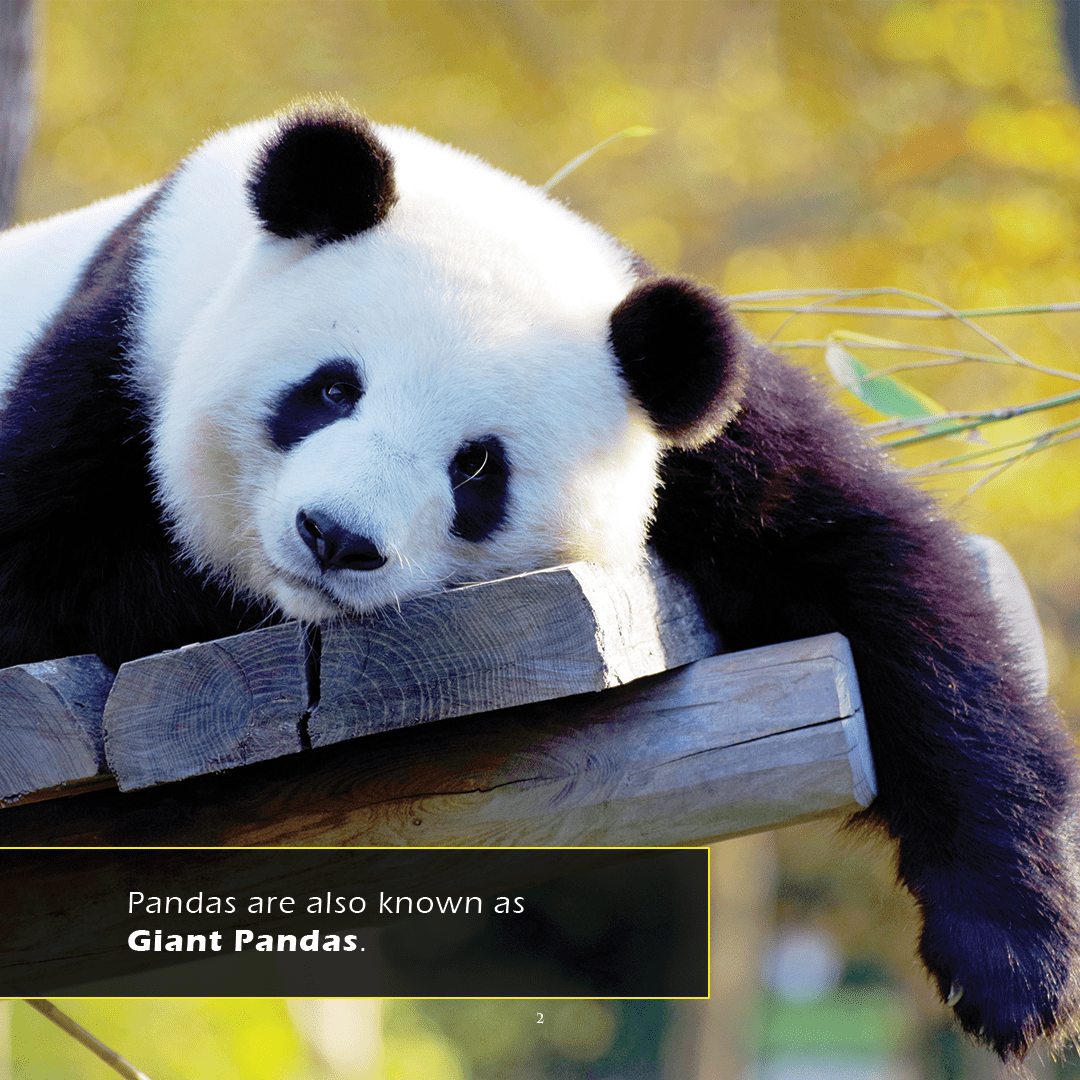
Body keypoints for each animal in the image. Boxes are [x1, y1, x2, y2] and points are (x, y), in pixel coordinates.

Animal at [0, 101, 1077, 1059]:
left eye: (478, 466)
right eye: (333, 388)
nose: (335, 538)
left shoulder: (695, 428)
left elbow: (883, 577)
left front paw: (1015, 969)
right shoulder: (122, 348)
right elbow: (44, 584)